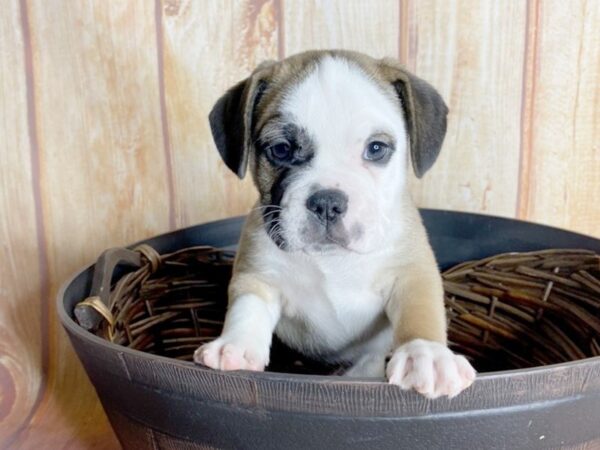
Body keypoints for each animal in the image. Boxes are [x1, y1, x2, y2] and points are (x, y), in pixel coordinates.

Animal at [197, 51, 478, 400]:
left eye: (376, 149)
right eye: (281, 149)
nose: (327, 202)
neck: (331, 258)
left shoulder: (411, 273)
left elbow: (420, 311)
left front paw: (426, 354)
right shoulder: (258, 274)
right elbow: (247, 306)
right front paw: (234, 344)